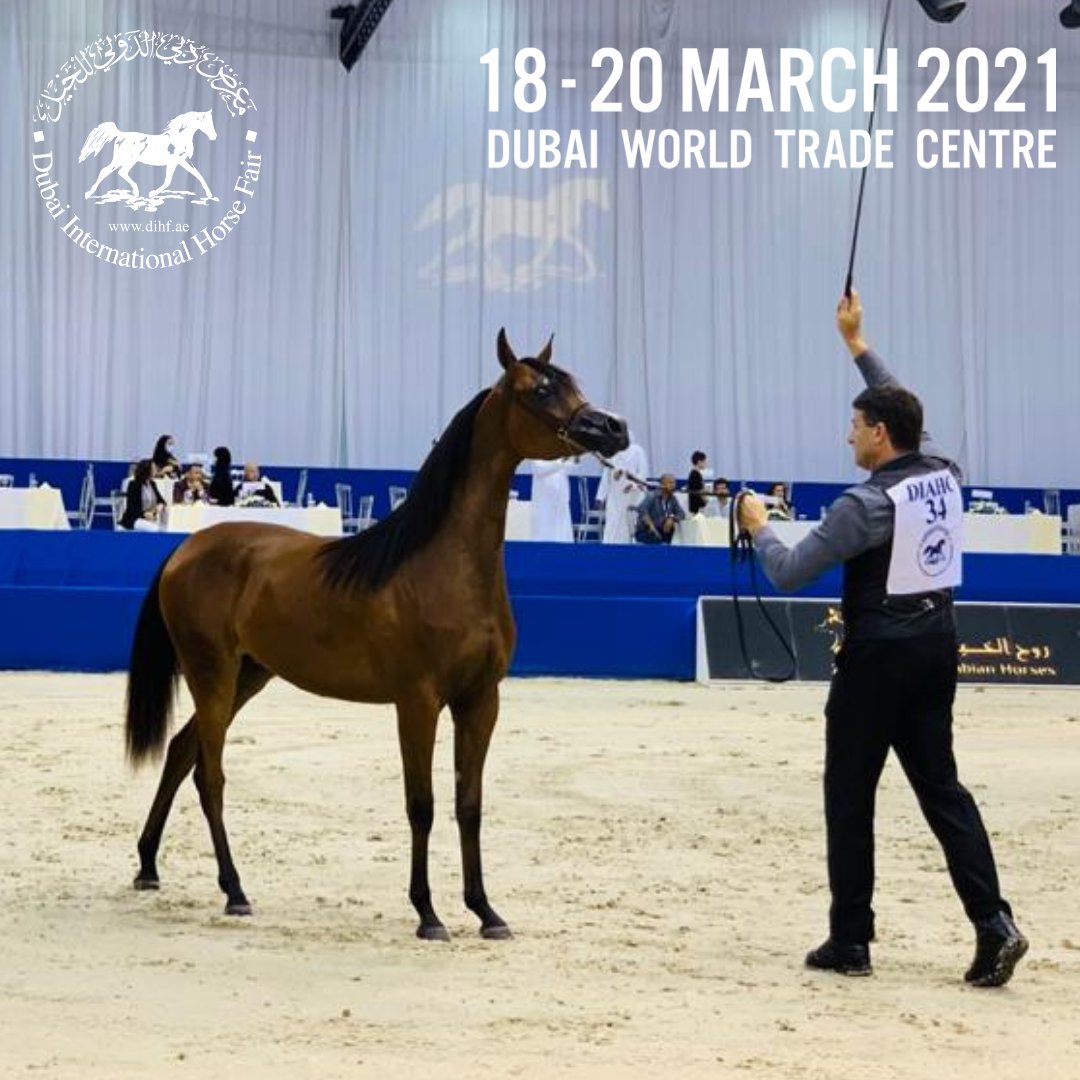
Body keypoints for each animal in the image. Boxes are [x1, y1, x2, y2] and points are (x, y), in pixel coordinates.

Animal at [80, 109, 218, 203]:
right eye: (207, 123)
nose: (214, 136)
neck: (179, 139)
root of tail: (121, 135)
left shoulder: (181, 161)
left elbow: (198, 175)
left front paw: (209, 194)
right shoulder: (176, 161)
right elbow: (169, 181)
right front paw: (152, 193)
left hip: (127, 160)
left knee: (118, 172)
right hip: (124, 159)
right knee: (108, 171)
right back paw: (89, 193)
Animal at [125, 330, 629, 941]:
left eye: (572, 382)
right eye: (538, 391)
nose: (613, 428)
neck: (444, 567)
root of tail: (186, 548)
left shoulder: (480, 700)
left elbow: (469, 804)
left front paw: (486, 912)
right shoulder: (417, 701)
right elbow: (422, 804)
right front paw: (428, 914)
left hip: (248, 675)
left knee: (180, 752)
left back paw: (149, 866)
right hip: (213, 674)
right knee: (210, 774)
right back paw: (235, 891)